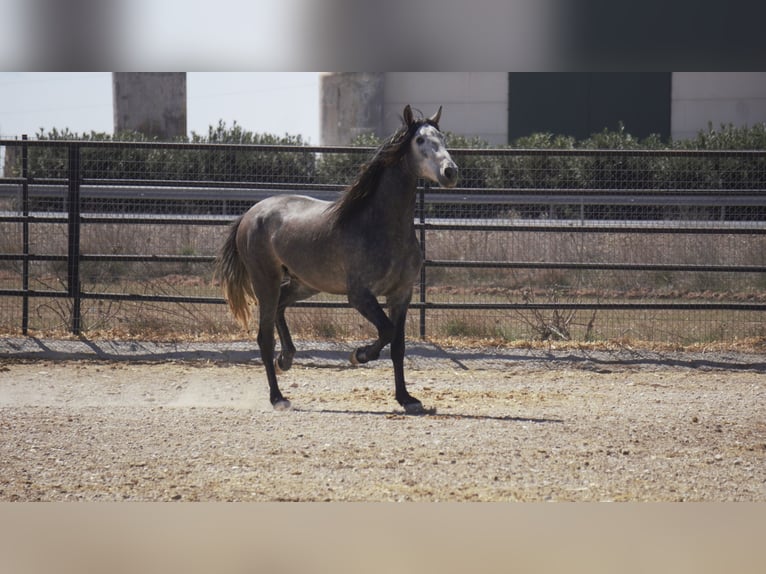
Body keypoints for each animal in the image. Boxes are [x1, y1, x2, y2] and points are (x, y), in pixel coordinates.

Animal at [216, 104, 460, 414]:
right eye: (420, 140)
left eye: (442, 137)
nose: (450, 172)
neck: (380, 226)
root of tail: (249, 214)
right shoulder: (359, 296)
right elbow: (387, 331)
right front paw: (359, 355)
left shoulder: (401, 295)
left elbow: (398, 346)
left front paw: (407, 399)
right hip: (265, 281)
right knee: (264, 336)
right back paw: (278, 397)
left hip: (304, 284)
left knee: (282, 307)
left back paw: (287, 358)